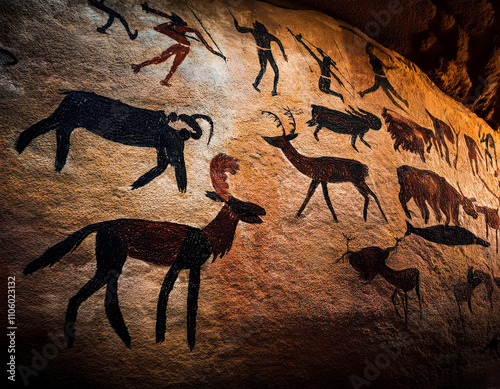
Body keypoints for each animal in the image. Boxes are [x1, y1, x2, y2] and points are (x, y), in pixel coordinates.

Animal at [23, 152, 266, 348]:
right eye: (241, 205)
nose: (263, 209)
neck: (207, 237)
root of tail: (102, 225)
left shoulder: (193, 268)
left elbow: (192, 305)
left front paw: (190, 343)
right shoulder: (178, 264)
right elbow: (164, 295)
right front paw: (160, 338)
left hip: (111, 266)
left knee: (103, 301)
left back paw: (121, 341)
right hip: (111, 263)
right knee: (87, 299)